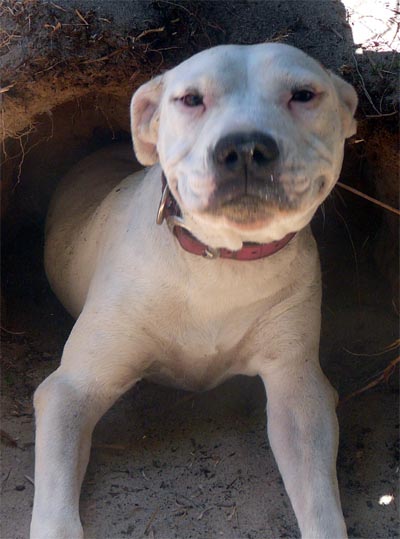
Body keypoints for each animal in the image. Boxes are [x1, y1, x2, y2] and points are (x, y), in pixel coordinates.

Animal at [30, 43, 356, 539]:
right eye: (190, 100)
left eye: (304, 94)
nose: (244, 147)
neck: (218, 262)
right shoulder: (73, 388)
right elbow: (55, 509)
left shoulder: (298, 392)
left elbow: (319, 504)